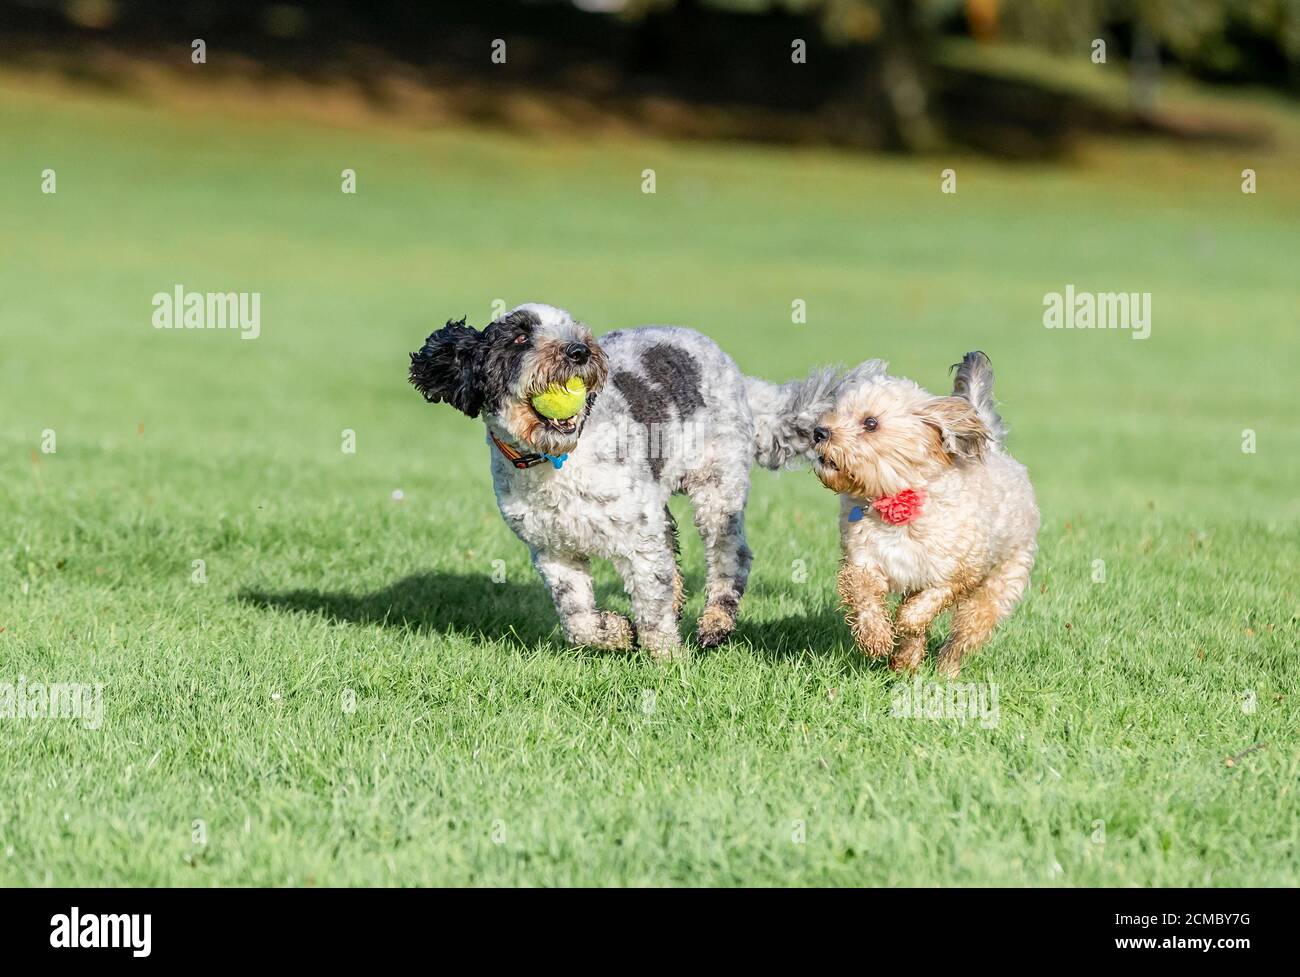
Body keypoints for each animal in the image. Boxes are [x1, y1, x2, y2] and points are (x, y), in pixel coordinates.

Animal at [408, 301, 832, 659]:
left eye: (573, 327)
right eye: (519, 338)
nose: (578, 351)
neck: (558, 461)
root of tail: (739, 376)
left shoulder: (638, 536)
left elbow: (651, 601)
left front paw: (668, 660)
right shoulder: (553, 550)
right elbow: (578, 619)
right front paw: (617, 632)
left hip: (717, 484)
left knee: (730, 554)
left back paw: (715, 622)